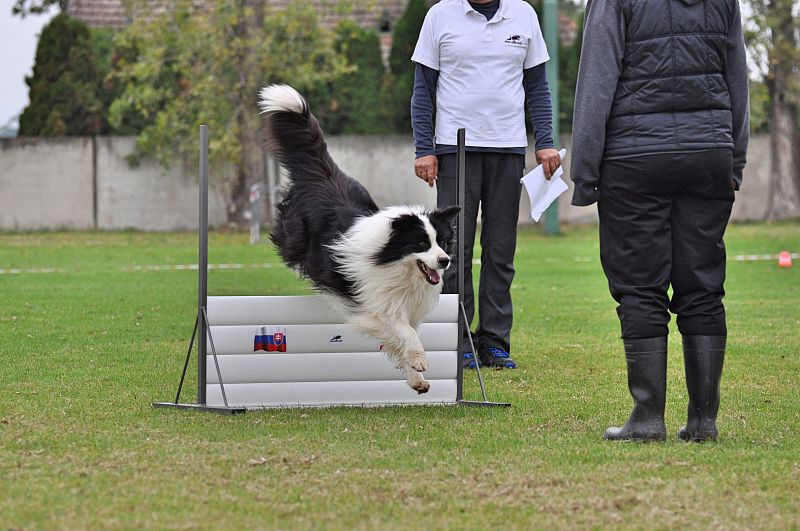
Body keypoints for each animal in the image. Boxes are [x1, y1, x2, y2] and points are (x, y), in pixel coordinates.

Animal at [260, 86, 460, 394]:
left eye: (444, 242)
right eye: (421, 244)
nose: (445, 261)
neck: (395, 265)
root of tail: (324, 174)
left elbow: (403, 337)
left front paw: (416, 378)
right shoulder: (376, 304)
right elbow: (404, 332)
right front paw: (419, 360)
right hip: (295, 236)